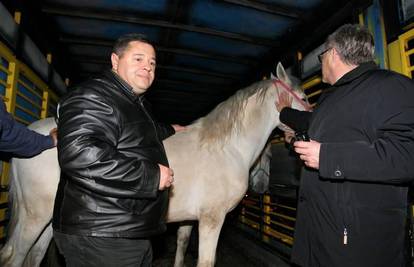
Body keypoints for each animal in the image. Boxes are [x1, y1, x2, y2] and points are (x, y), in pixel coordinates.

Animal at [0, 61, 308, 266]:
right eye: (304, 97)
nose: (262, 186)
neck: (226, 148)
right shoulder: (212, 219)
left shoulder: (190, 220)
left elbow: (182, 248)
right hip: (36, 216)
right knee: (16, 256)